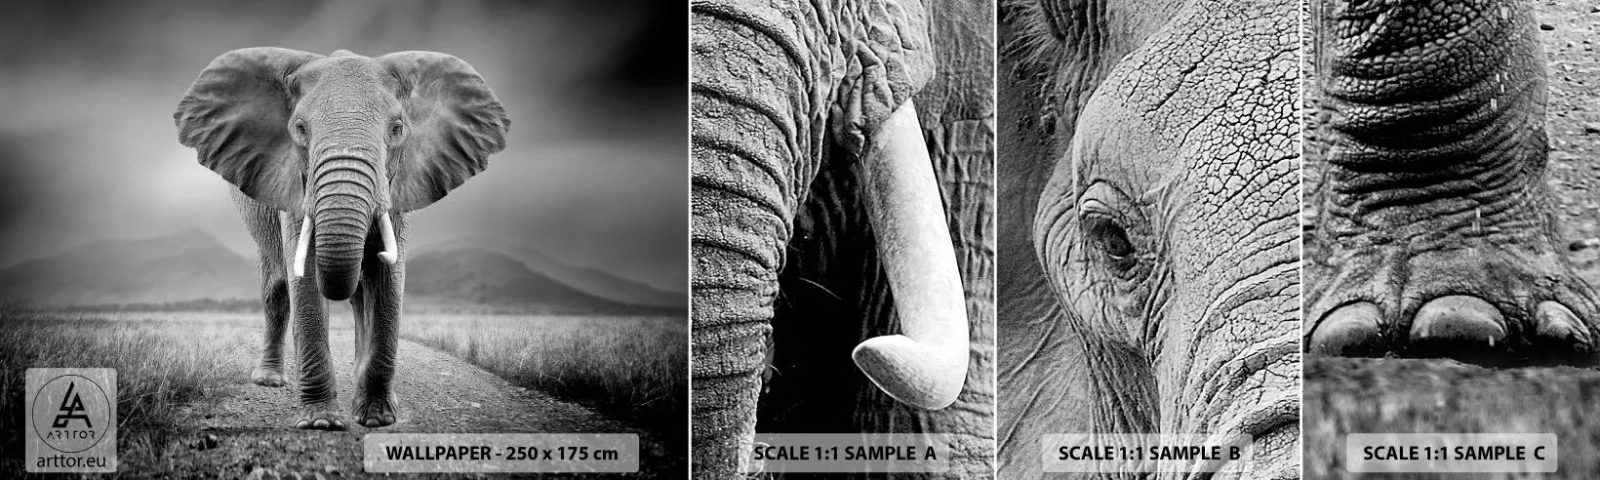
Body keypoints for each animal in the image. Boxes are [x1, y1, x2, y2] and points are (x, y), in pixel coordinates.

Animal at [173, 48, 509, 430]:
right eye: (299, 129)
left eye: (397, 129)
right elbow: (303, 279)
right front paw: (321, 422)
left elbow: (389, 280)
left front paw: (377, 418)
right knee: (276, 291)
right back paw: (270, 380)